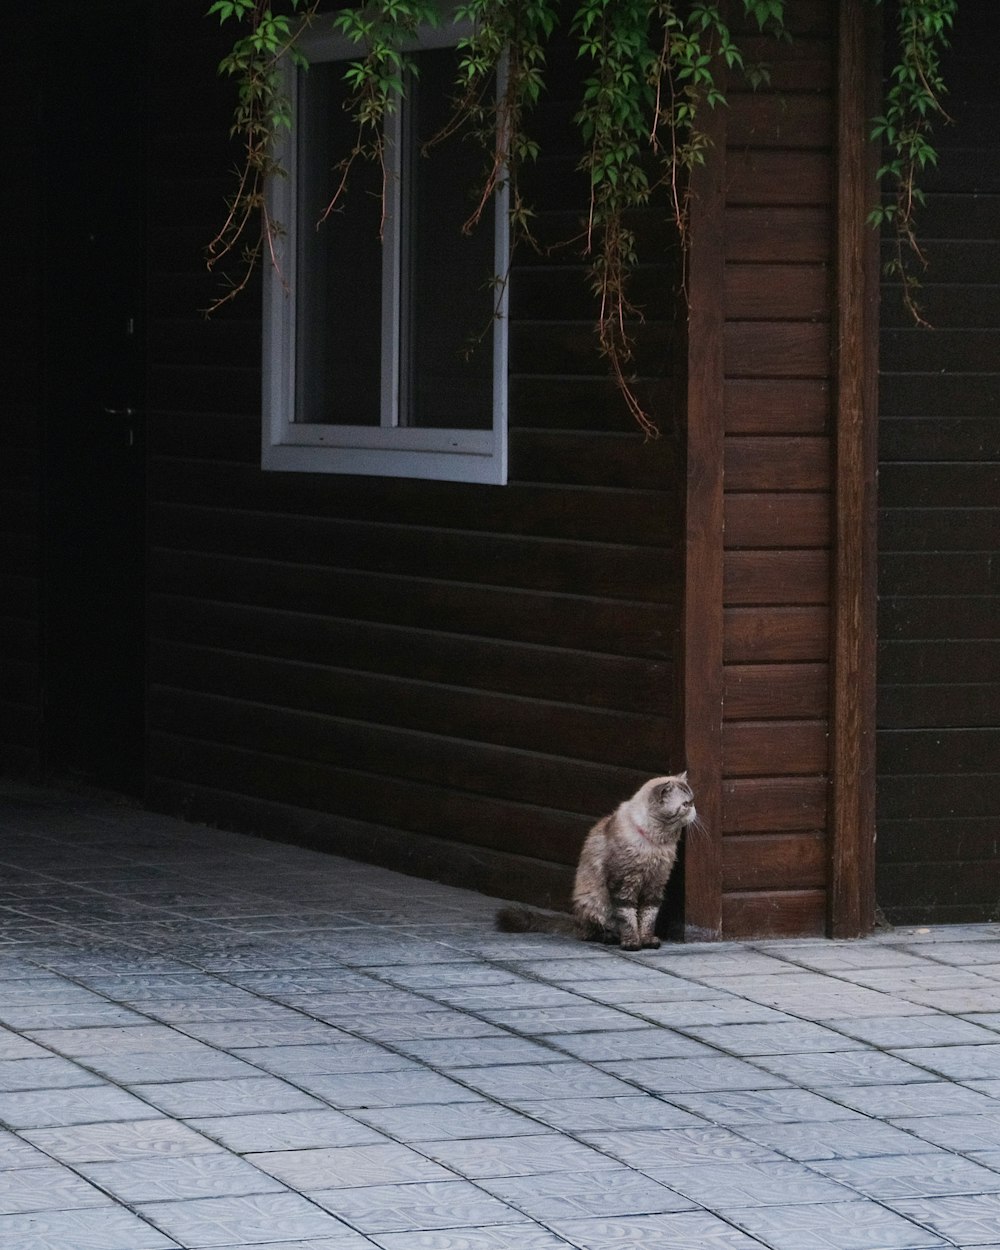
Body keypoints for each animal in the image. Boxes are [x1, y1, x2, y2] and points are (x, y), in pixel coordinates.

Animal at [495, 770, 695, 945]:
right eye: (686, 804)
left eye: (692, 801)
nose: (694, 809)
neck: (655, 843)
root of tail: (576, 922)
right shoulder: (623, 884)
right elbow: (628, 918)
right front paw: (632, 943)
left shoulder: (655, 885)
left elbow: (648, 917)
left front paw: (647, 941)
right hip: (594, 904)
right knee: (592, 933)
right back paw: (611, 938)